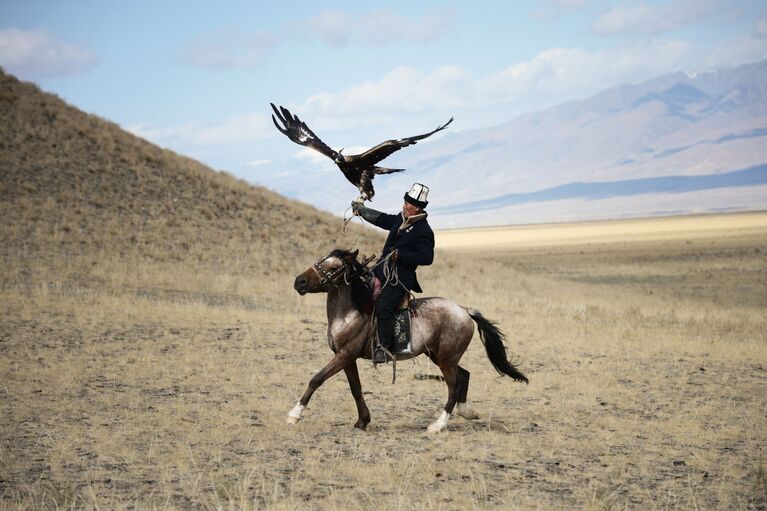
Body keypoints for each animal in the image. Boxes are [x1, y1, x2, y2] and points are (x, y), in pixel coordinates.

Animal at [288, 248, 528, 432]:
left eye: (334, 268)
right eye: (321, 260)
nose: (299, 281)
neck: (351, 312)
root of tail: (464, 310)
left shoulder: (345, 355)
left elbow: (316, 379)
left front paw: (294, 415)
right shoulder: (347, 358)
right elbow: (355, 388)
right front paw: (362, 421)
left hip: (446, 359)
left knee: (453, 384)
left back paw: (437, 426)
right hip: (439, 356)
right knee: (465, 375)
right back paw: (467, 412)